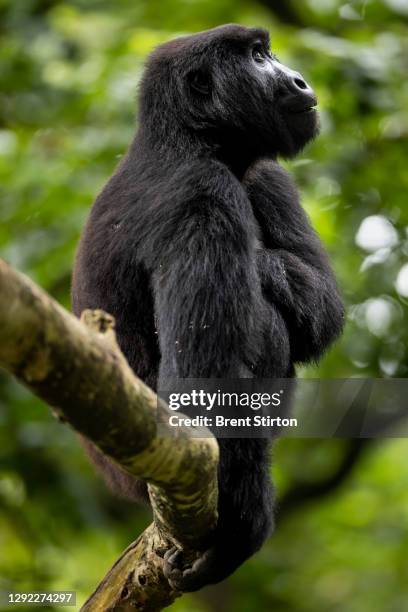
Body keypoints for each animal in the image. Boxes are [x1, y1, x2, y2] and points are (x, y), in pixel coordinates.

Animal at [71, 25, 344, 592]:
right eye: (258, 57)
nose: (297, 78)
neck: (187, 139)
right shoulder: (204, 196)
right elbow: (202, 388)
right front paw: (243, 527)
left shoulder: (264, 173)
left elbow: (322, 304)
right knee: (265, 330)